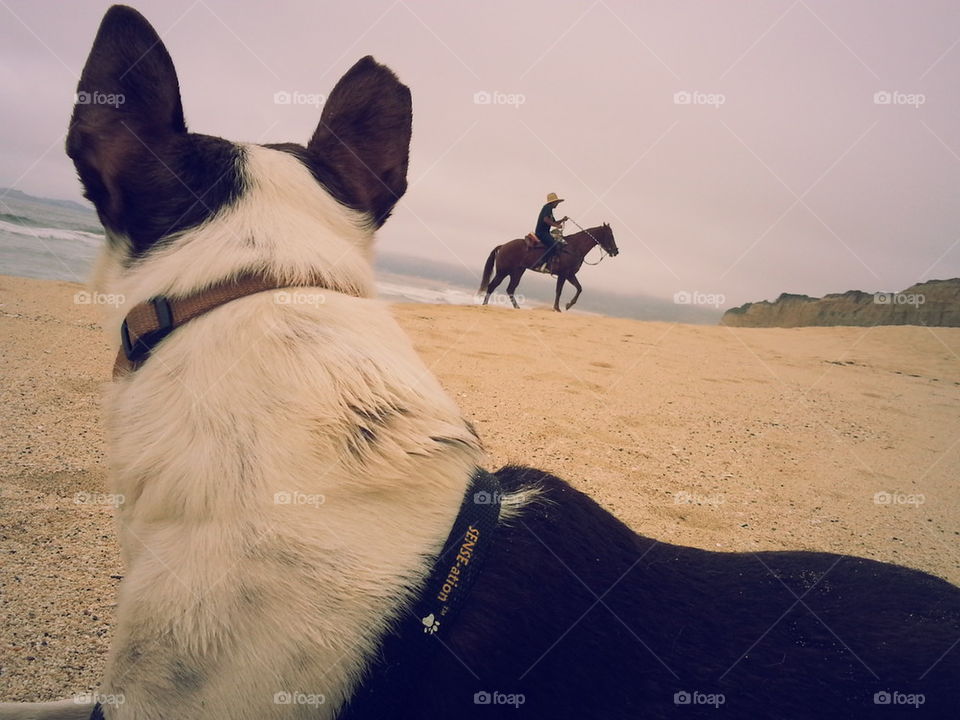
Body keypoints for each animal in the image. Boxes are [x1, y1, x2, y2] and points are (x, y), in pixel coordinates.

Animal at [477, 223, 619, 311]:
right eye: (610, 236)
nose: (616, 251)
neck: (574, 247)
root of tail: (503, 246)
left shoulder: (570, 275)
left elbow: (579, 288)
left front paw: (568, 305)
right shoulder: (563, 274)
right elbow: (559, 291)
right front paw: (557, 308)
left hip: (517, 272)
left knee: (510, 289)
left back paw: (517, 307)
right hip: (503, 272)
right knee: (492, 286)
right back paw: (485, 305)